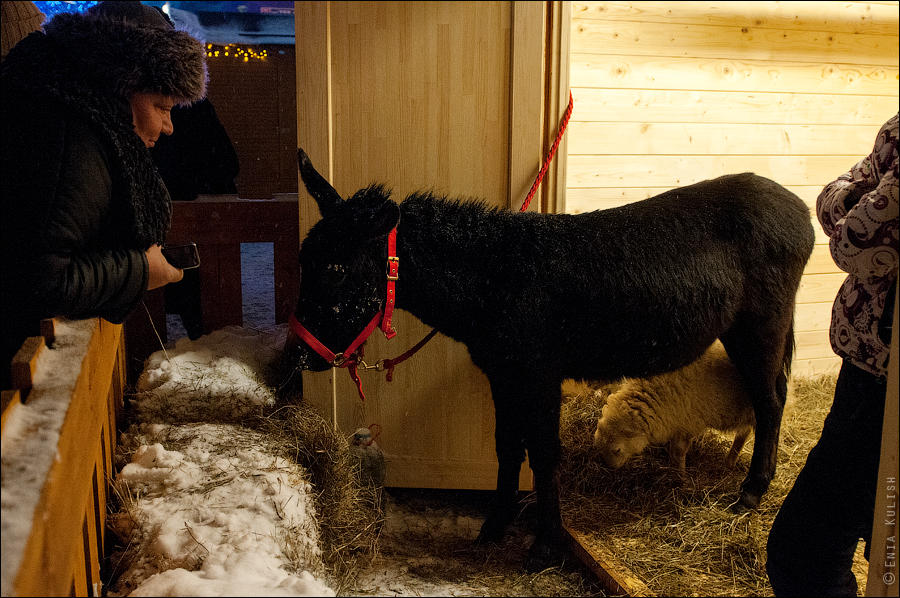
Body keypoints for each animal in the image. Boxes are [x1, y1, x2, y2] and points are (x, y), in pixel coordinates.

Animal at [596, 342, 756, 474]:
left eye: (617, 450)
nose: (610, 468)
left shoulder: (688, 422)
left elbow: (678, 451)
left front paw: (680, 476)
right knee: (743, 433)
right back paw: (729, 462)